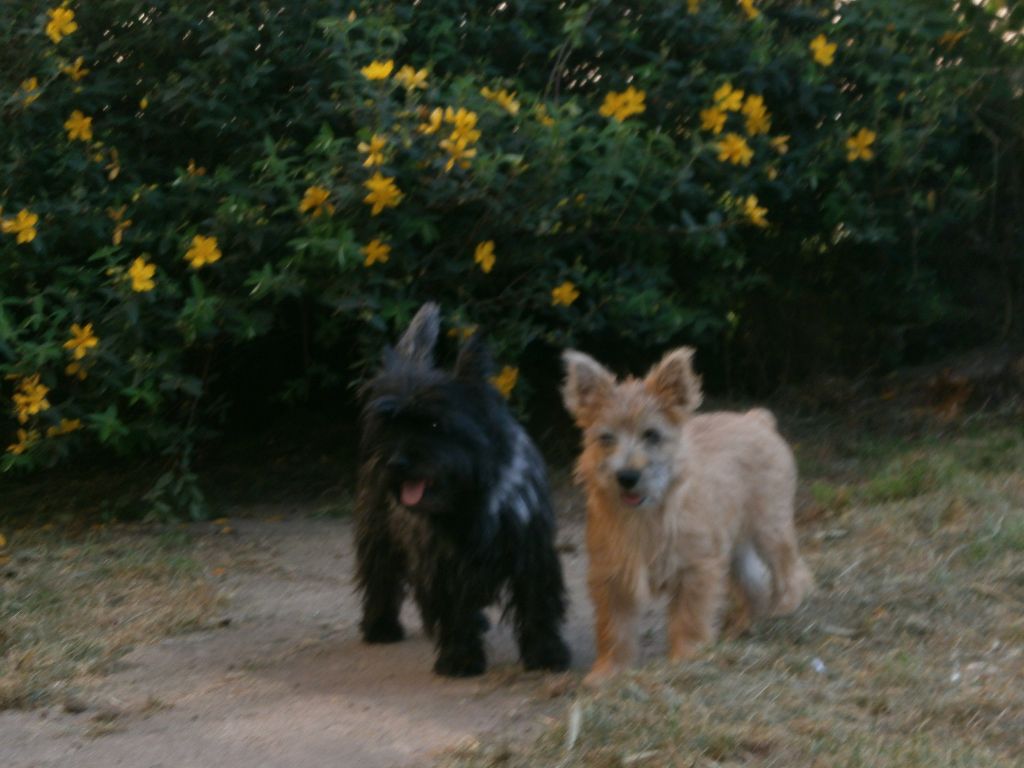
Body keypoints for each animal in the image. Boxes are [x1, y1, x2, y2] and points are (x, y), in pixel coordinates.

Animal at [356, 303, 573, 675]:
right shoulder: (440, 559)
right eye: (389, 424)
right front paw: (459, 657)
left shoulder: (531, 552)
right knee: (381, 576)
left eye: (434, 424)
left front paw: (547, 653)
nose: (396, 463)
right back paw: (381, 626)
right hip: (380, 533)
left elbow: (537, 603)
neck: (469, 498)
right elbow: (451, 604)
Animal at [565, 348, 811, 684]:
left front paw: (686, 657)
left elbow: (690, 617)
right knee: (754, 583)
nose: (627, 476)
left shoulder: (696, 568)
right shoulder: (611, 576)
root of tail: (756, 419)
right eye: (606, 438)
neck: (646, 515)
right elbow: (613, 627)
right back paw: (743, 626)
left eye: (652, 435)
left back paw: (784, 606)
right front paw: (608, 671)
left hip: (769, 529)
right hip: (736, 548)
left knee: (790, 568)